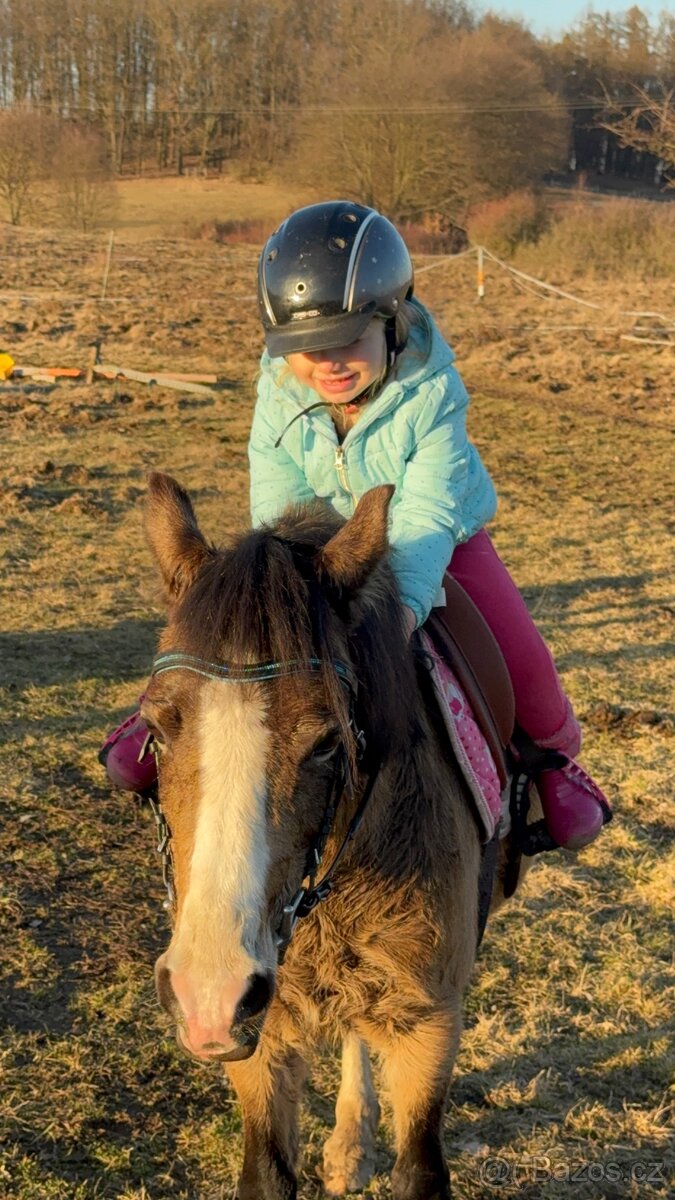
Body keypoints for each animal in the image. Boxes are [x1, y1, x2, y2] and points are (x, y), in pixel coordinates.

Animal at [141, 471, 518, 1200]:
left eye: (326, 743)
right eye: (157, 726)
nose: (209, 991)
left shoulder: (427, 1023)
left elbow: (419, 1166)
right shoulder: (259, 1036)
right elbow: (266, 1169)